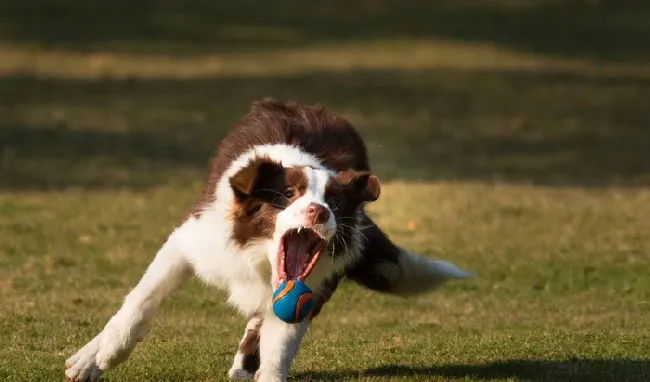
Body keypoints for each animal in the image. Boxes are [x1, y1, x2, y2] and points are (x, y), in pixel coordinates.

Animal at [63, 99, 468, 382]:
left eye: (335, 203)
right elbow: (142, 299)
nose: (319, 213)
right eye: (288, 195)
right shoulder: (192, 240)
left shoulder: (311, 288)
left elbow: (281, 342)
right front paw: (105, 353)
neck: (258, 256)